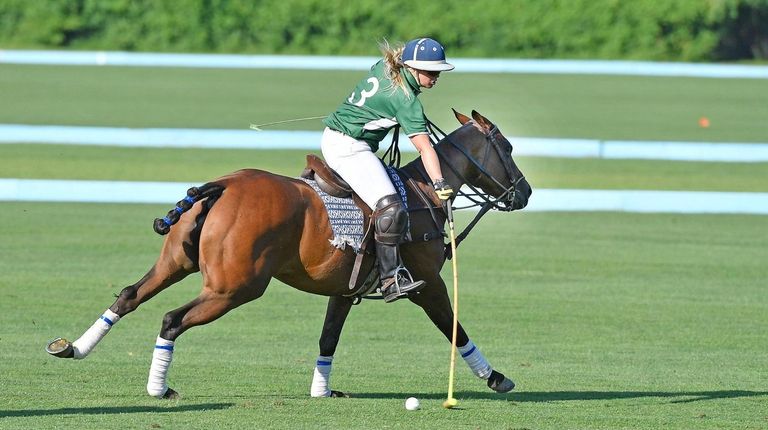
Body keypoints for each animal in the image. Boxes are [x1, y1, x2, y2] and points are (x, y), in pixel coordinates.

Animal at [46, 109, 528, 398]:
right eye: (507, 148)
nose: (523, 193)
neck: (424, 192)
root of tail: (220, 186)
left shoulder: (344, 290)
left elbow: (328, 337)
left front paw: (322, 390)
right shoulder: (427, 283)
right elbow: (455, 328)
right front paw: (496, 378)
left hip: (177, 263)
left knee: (129, 294)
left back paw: (73, 349)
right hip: (235, 287)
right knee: (171, 319)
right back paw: (158, 389)